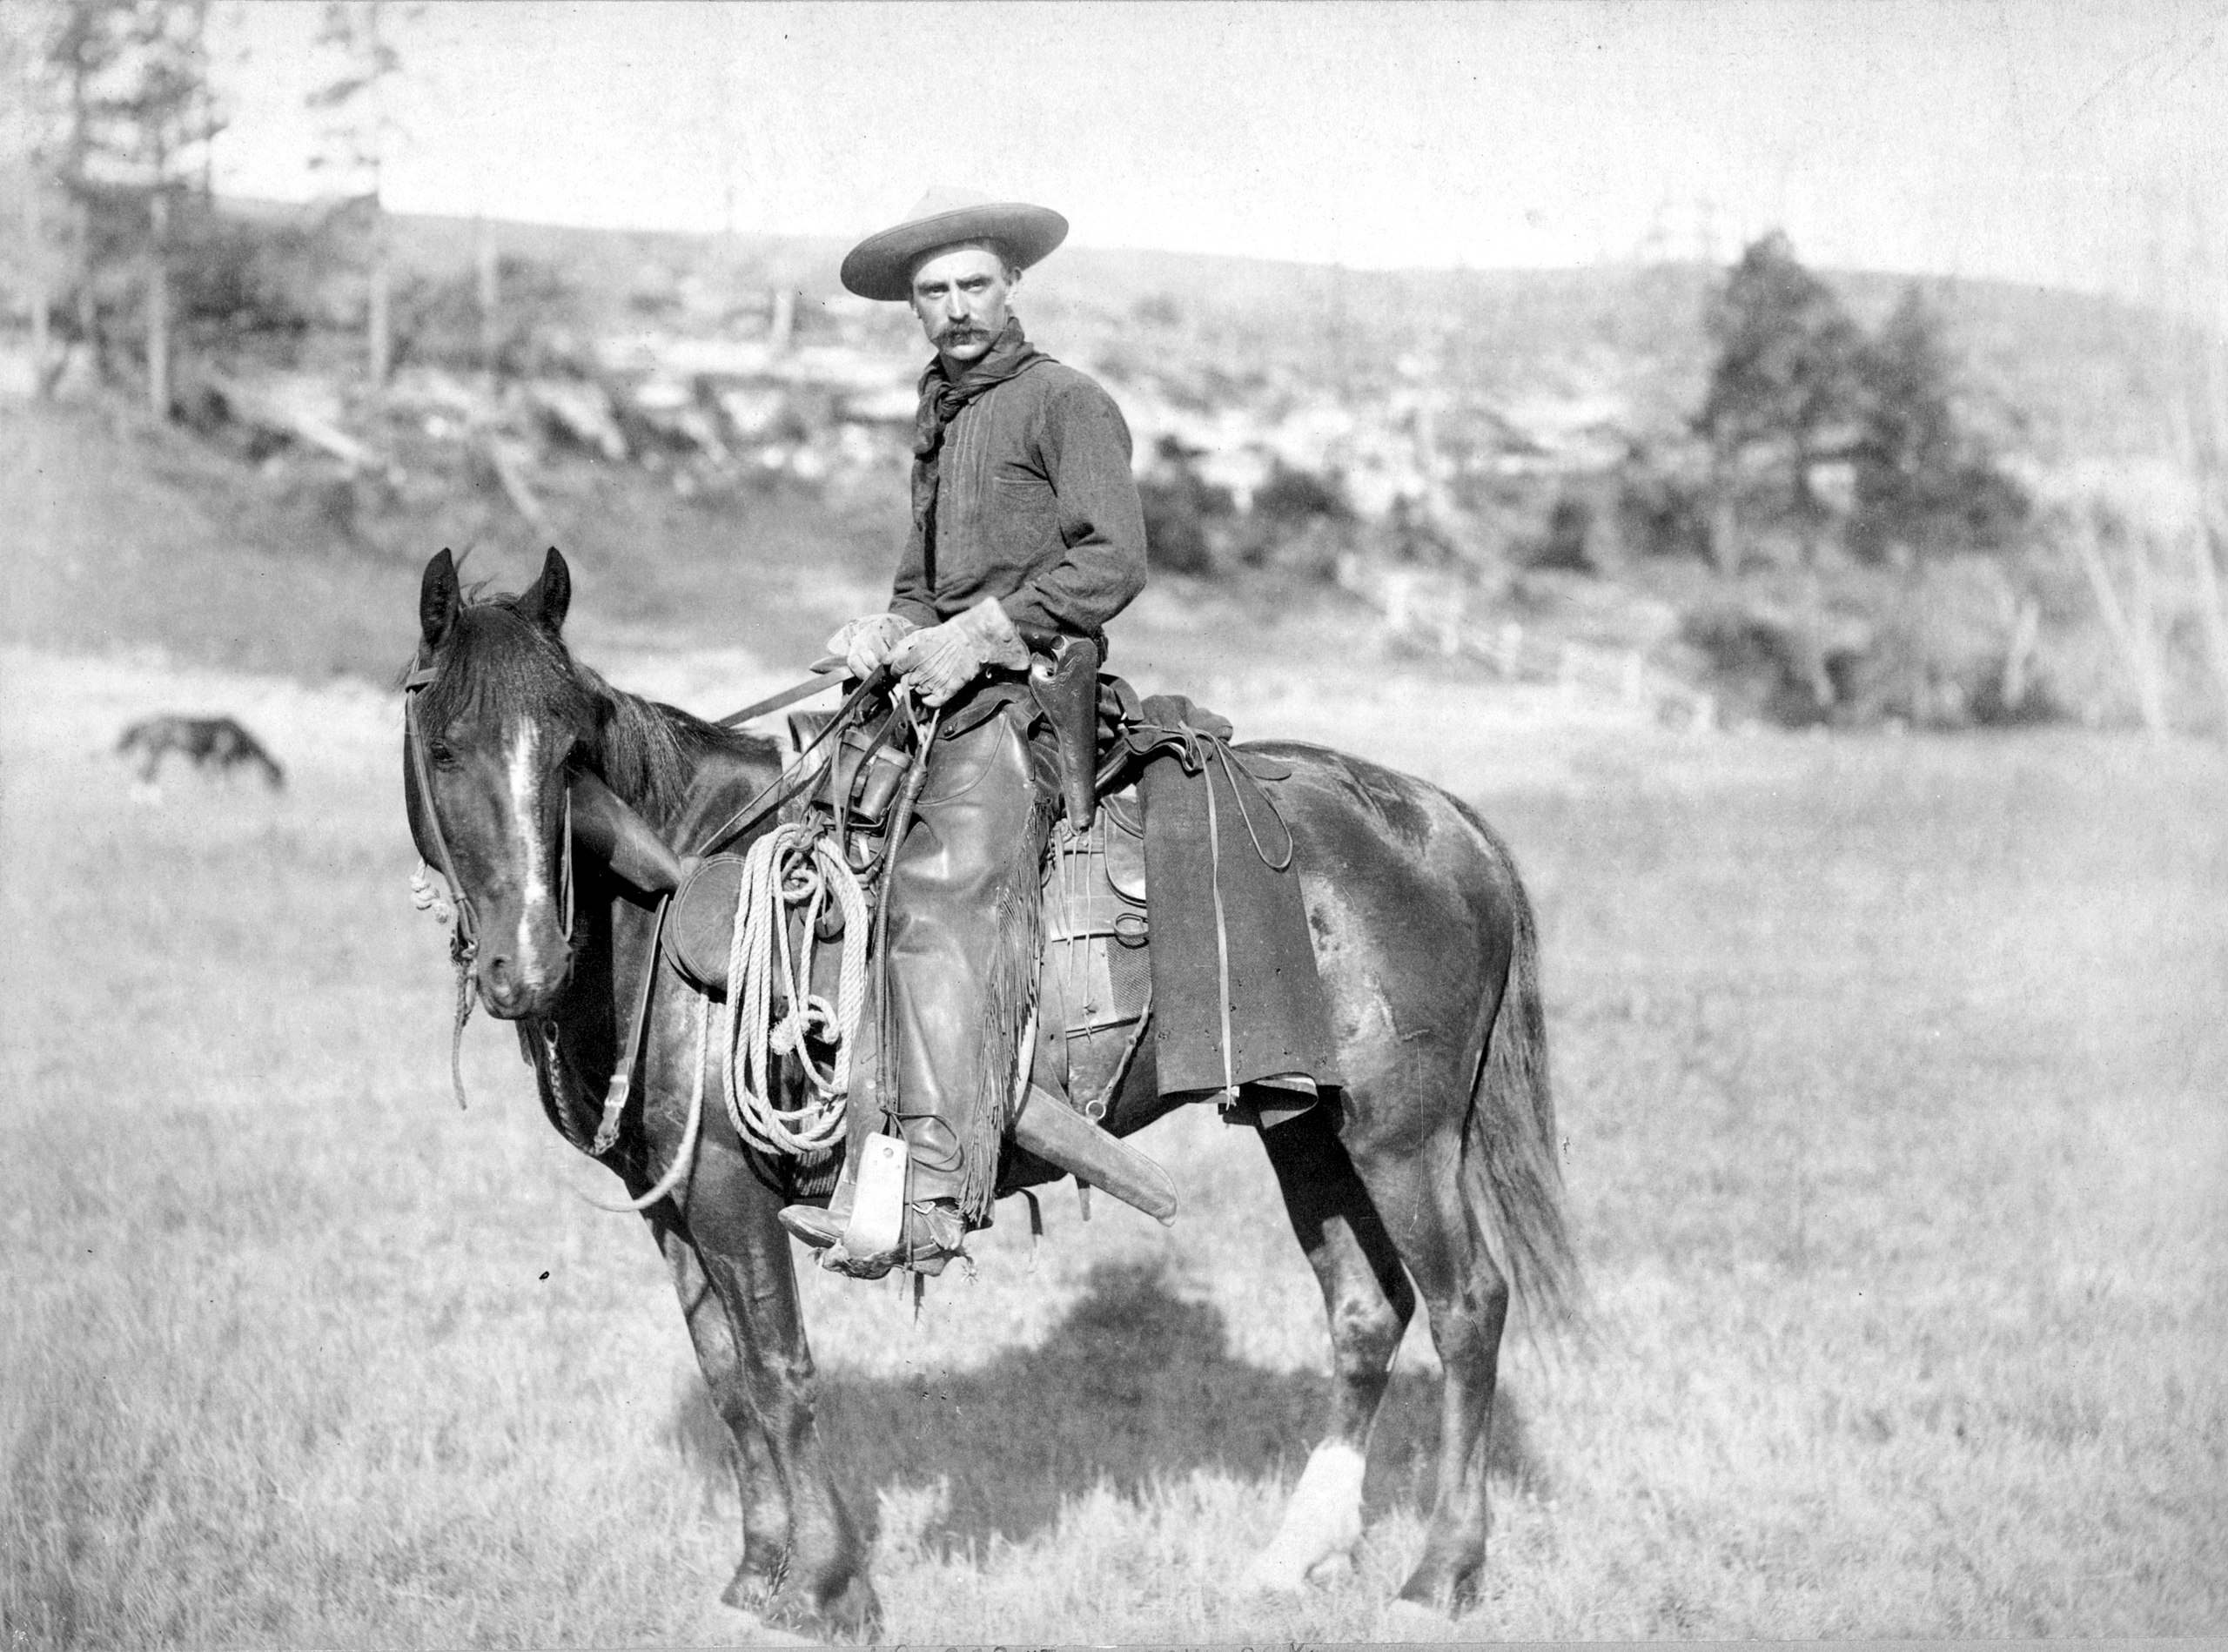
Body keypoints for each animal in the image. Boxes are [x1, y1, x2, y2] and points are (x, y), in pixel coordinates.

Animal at [405, 548, 1586, 1631]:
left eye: (570, 751)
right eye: (446, 748)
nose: (525, 965)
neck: (670, 893)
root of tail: (1439, 820)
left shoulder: (734, 1195)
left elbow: (782, 1376)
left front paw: (827, 1589)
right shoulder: (675, 1203)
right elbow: (730, 1382)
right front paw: (752, 1577)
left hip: (1403, 1135)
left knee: (1467, 1307)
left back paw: (1439, 1574)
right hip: (1304, 1125)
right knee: (1365, 1309)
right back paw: (1297, 1553)